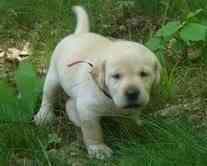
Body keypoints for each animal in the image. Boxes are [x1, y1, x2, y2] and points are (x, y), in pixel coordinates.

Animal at [34, 5, 161, 160]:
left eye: (144, 74)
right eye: (116, 76)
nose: (132, 93)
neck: (110, 97)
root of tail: (79, 33)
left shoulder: (132, 108)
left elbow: (131, 120)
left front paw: (136, 131)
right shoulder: (87, 110)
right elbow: (92, 131)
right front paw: (98, 149)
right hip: (53, 76)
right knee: (49, 96)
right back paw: (44, 115)